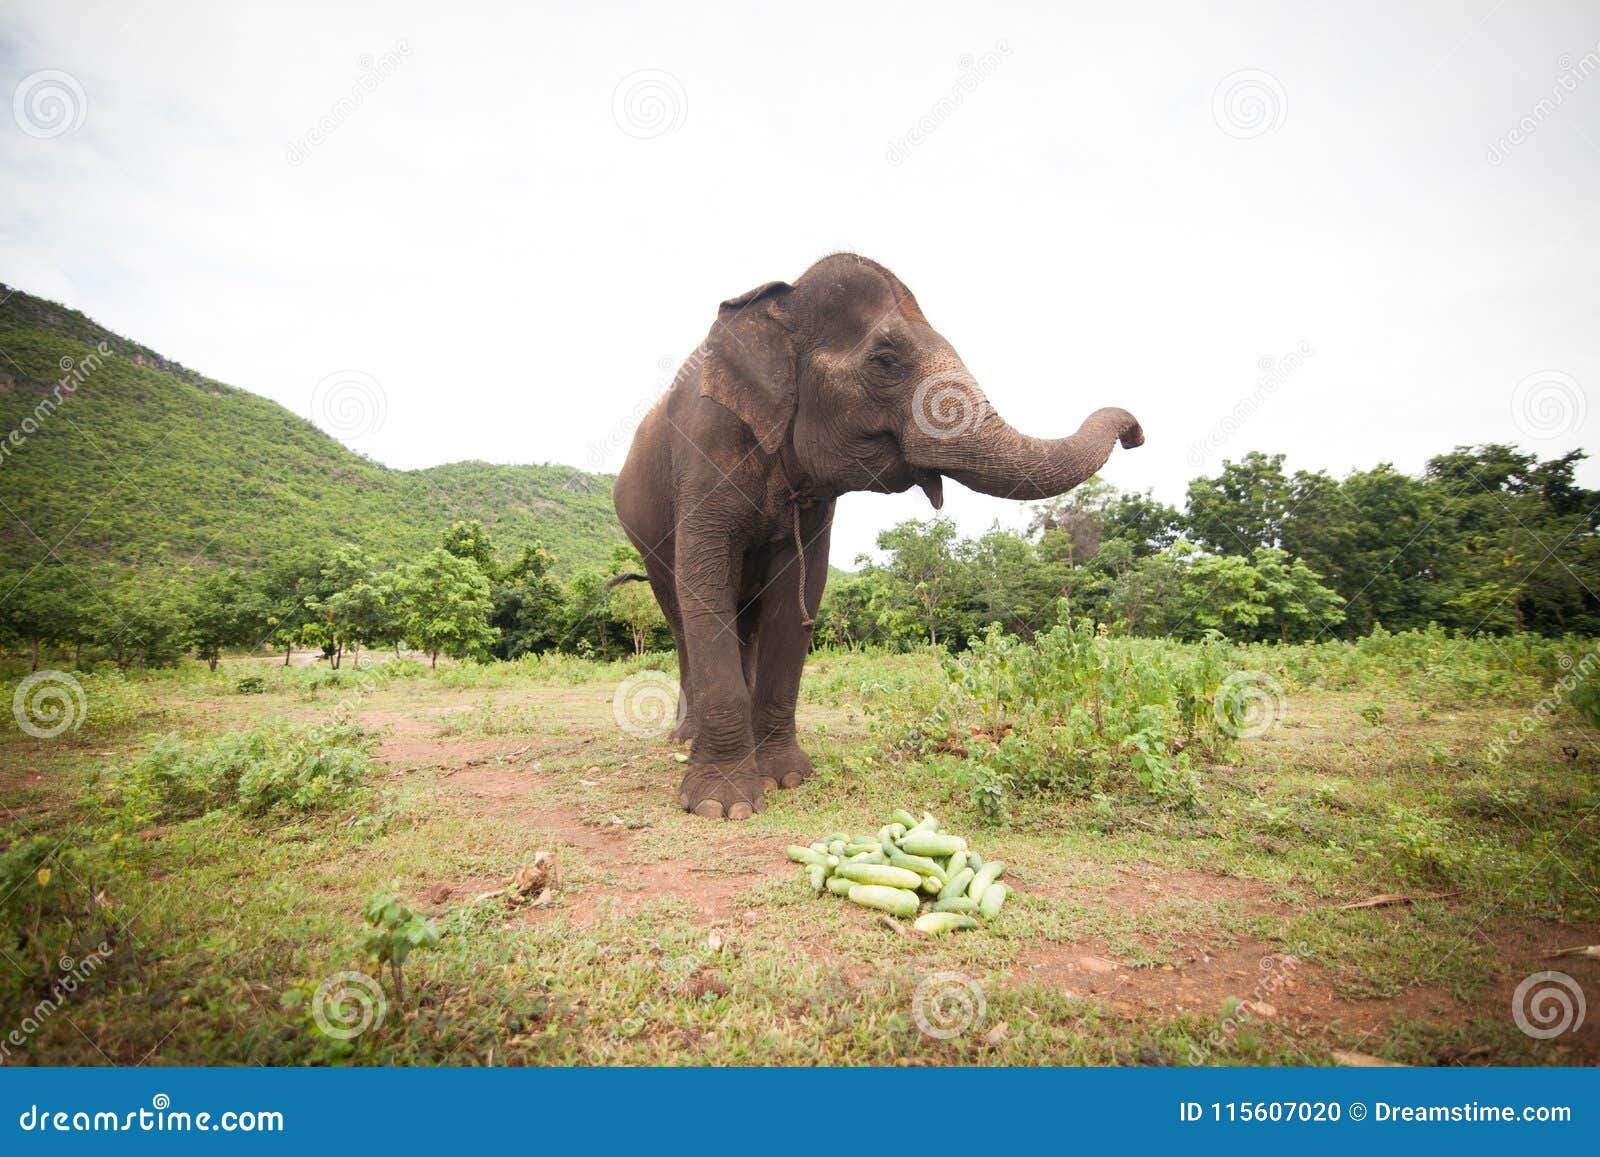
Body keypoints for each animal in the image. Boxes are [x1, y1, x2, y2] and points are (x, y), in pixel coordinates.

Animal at [604, 256, 1145, 816]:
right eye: (886, 361)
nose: (1135, 433)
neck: (782, 303)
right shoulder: (705, 449)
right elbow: (706, 582)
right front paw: (724, 806)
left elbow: (797, 593)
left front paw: (787, 779)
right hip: (642, 529)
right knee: (679, 612)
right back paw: (684, 738)